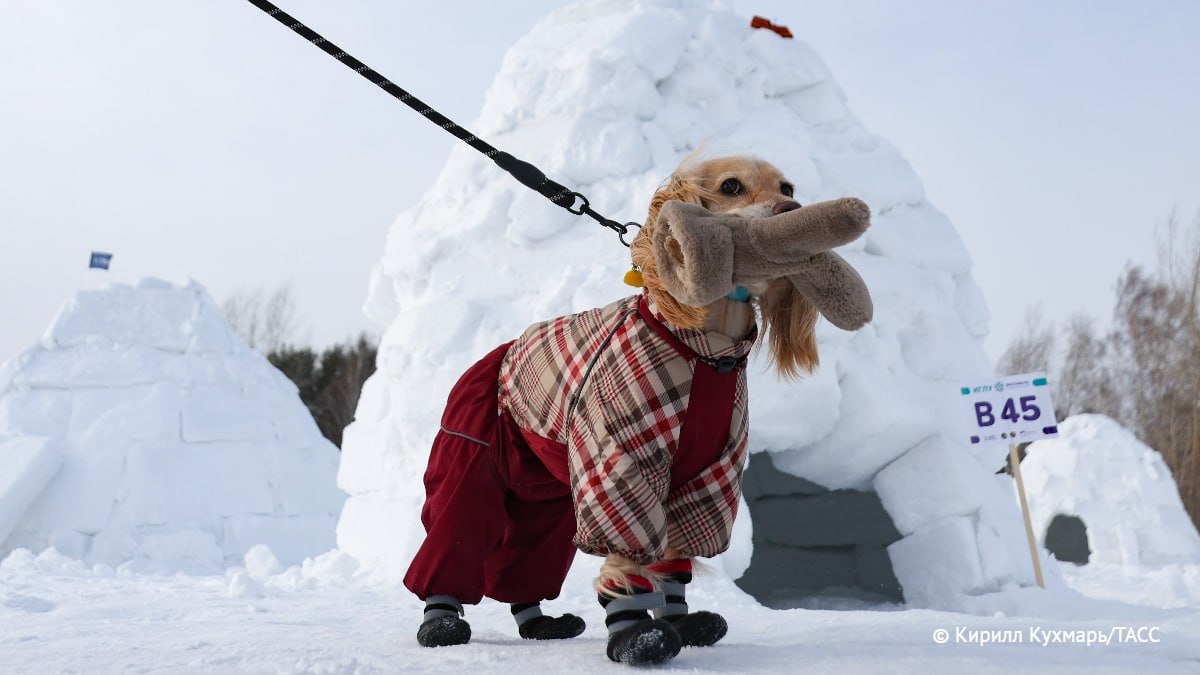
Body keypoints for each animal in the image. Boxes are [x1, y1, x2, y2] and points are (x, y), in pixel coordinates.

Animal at [404, 154, 873, 665]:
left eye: (788, 187)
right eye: (731, 186)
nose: (792, 210)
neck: (707, 353)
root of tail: (503, 351)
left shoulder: (710, 473)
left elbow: (674, 559)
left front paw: (682, 620)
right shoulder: (623, 463)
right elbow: (627, 559)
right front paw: (637, 636)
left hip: (544, 495)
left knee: (521, 560)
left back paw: (540, 622)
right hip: (474, 456)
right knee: (453, 539)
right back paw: (441, 621)